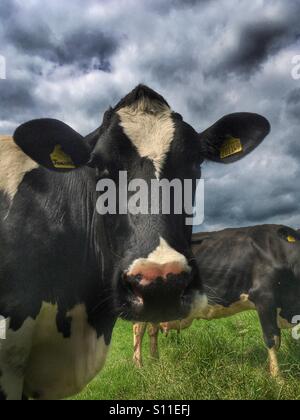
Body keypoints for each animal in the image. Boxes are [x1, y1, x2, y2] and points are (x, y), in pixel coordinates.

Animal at [133, 226, 300, 380]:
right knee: (138, 331)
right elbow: (272, 339)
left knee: (152, 331)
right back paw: (139, 368)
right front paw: (278, 380)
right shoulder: (264, 298)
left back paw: (155, 362)